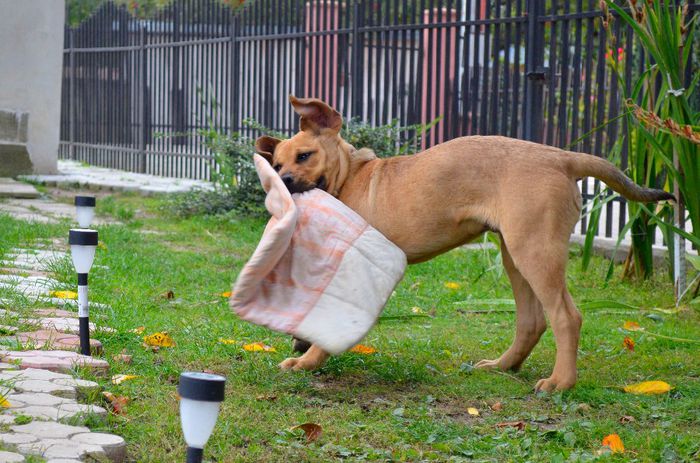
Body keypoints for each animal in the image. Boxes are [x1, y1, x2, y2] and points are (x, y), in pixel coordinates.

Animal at [256, 96, 672, 394]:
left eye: (305, 156)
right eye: (276, 166)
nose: (284, 184)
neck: (349, 179)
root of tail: (562, 157)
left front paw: (308, 360)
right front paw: (302, 345)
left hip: (535, 252)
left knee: (566, 317)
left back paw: (560, 382)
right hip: (515, 254)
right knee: (533, 320)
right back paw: (504, 366)